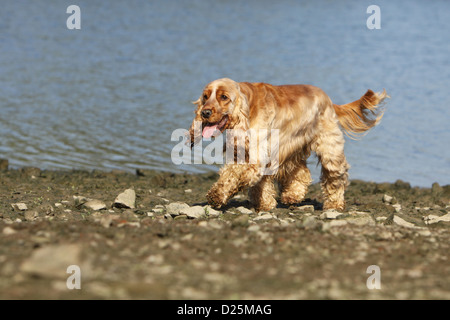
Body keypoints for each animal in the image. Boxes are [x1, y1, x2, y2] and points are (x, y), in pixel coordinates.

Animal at [186, 77, 386, 211]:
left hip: (329, 149)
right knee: (302, 172)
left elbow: (235, 175)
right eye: (205, 97)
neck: (247, 109)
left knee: (335, 177)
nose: (204, 113)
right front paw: (264, 203)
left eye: (224, 97)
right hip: (293, 149)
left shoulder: (257, 157)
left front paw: (218, 195)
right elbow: (243, 178)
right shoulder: (247, 153)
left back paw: (334, 204)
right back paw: (292, 196)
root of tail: (329, 100)